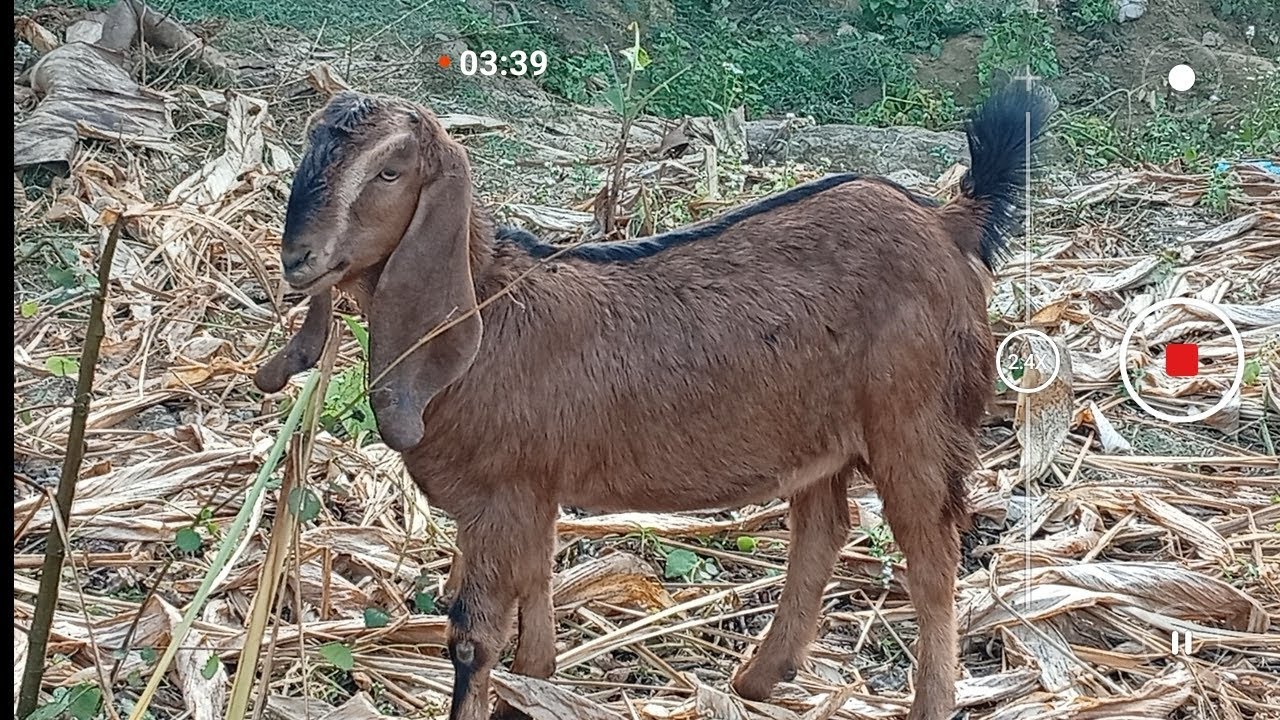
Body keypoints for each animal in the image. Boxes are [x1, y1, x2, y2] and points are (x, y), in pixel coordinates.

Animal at [256, 85, 1049, 720]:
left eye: (389, 171)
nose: (297, 259)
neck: (485, 312)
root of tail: (948, 222)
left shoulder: (502, 492)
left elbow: (474, 637)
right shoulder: (532, 488)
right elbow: (535, 597)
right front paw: (536, 685)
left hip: (916, 419)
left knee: (932, 557)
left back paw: (925, 702)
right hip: (818, 432)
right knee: (825, 526)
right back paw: (759, 679)